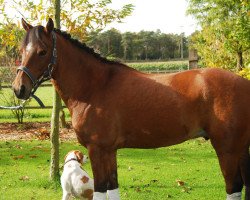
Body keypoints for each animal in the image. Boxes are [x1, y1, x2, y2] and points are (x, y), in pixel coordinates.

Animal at [13, 18, 250, 198]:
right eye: (21, 50)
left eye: (42, 51)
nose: (19, 88)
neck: (95, 86)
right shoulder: (109, 151)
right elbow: (112, 188)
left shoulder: (97, 149)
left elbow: (100, 190)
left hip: (227, 148)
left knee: (234, 187)